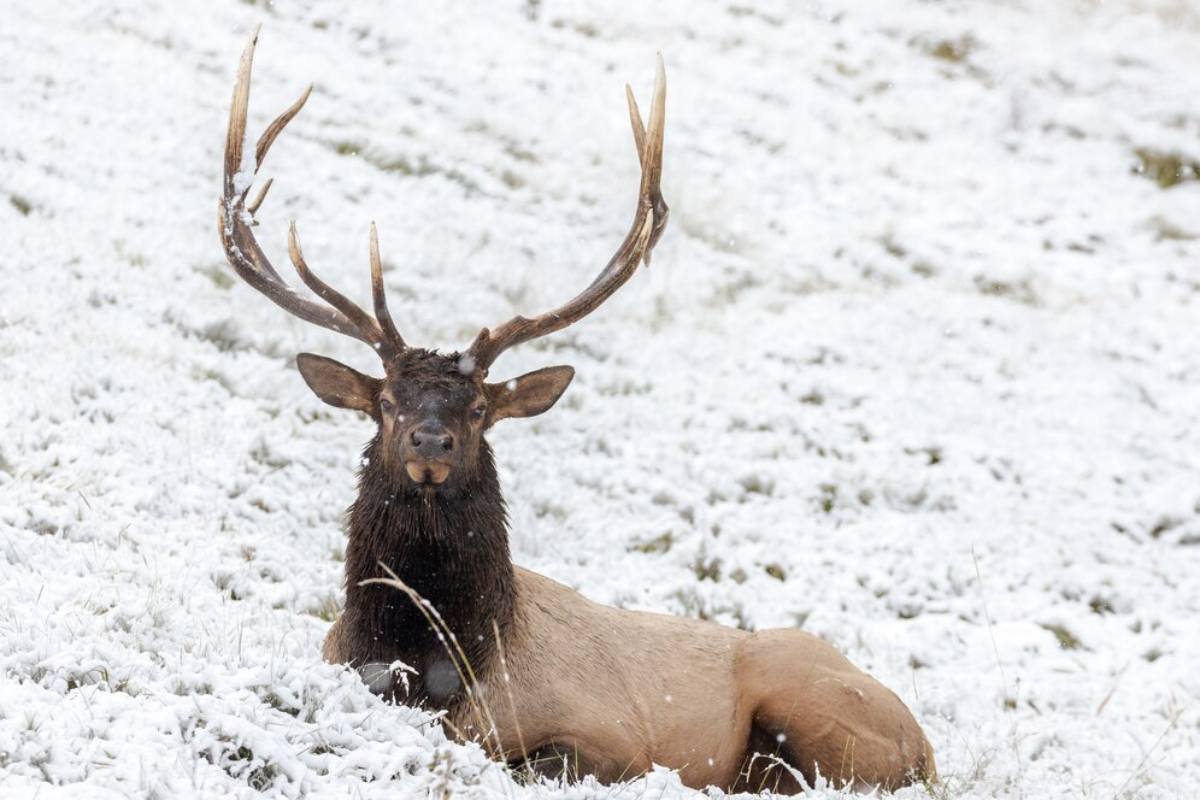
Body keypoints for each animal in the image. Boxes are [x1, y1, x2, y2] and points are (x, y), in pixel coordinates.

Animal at [220, 29, 940, 796]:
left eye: (479, 407)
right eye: (385, 402)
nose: (430, 441)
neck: (439, 668)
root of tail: (925, 744)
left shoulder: (614, 739)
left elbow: (539, 760)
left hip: (813, 701)